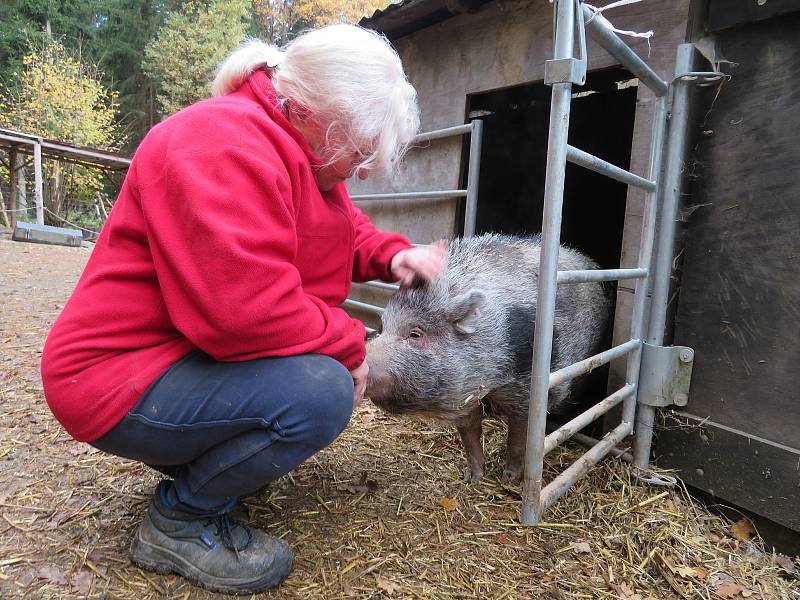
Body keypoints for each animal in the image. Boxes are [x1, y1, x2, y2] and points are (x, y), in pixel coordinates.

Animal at [368, 234, 612, 482]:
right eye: (382, 328)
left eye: (416, 333)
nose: (364, 363)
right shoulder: (466, 394)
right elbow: (469, 431)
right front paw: (471, 478)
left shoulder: (525, 389)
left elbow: (518, 435)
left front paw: (509, 477)